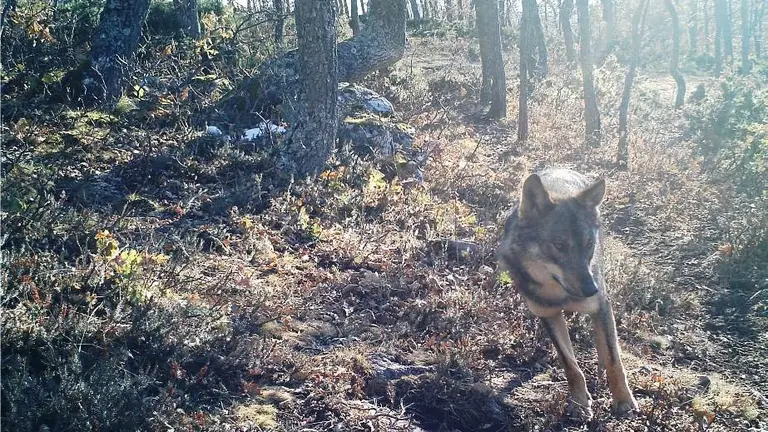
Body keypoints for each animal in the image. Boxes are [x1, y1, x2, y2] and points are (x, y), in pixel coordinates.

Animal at [497, 168, 638, 421]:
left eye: (589, 244)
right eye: (560, 245)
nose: (591, 289)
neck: (559, 294)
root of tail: (562, 168)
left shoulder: (601, 304)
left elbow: (615, 360)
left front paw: (623, 401)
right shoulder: (548, 315)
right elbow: (570, 365)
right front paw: (580, 403)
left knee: (605, 342)